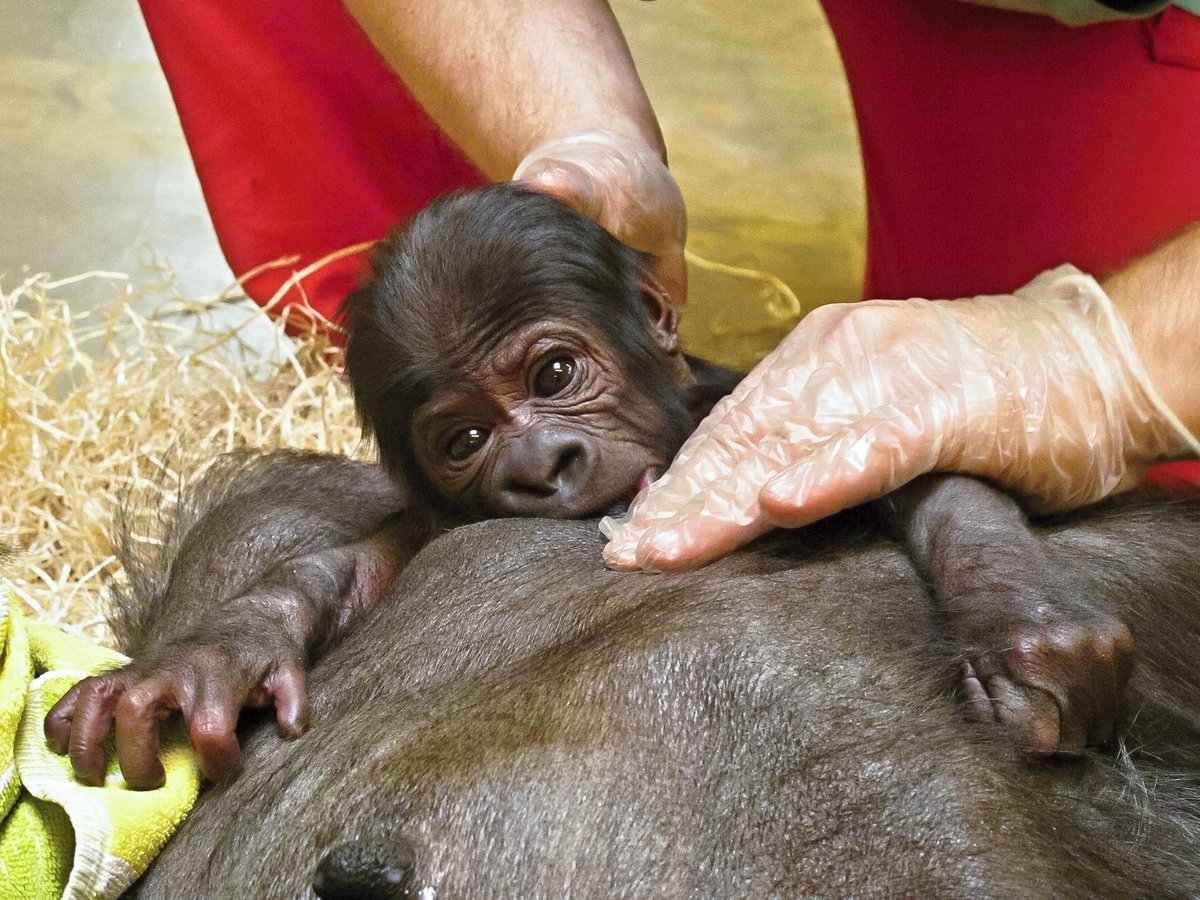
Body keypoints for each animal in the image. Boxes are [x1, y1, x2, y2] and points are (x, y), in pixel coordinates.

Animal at [44, 184, 1132, 796]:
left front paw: (1025, 626)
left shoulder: (744, 407)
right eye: (467, 439)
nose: (540, 465)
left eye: (556, 374)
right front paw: (207, 658)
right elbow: (357, 567)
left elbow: (892, 462)